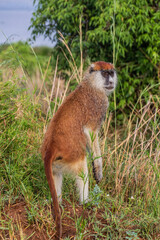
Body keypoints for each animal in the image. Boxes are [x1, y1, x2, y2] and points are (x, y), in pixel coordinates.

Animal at [42, 61, 117, 238]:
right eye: (105, 73)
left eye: (111, 72)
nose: (111, 80)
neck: (91, 84)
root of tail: (51, 146)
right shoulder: (99, 103)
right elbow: (90, 132)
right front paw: (98, 168)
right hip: (72, 156)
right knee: (82, 169)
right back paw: (85, 202)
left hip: (58, 161)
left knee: (56, 174)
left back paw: (58, 202)